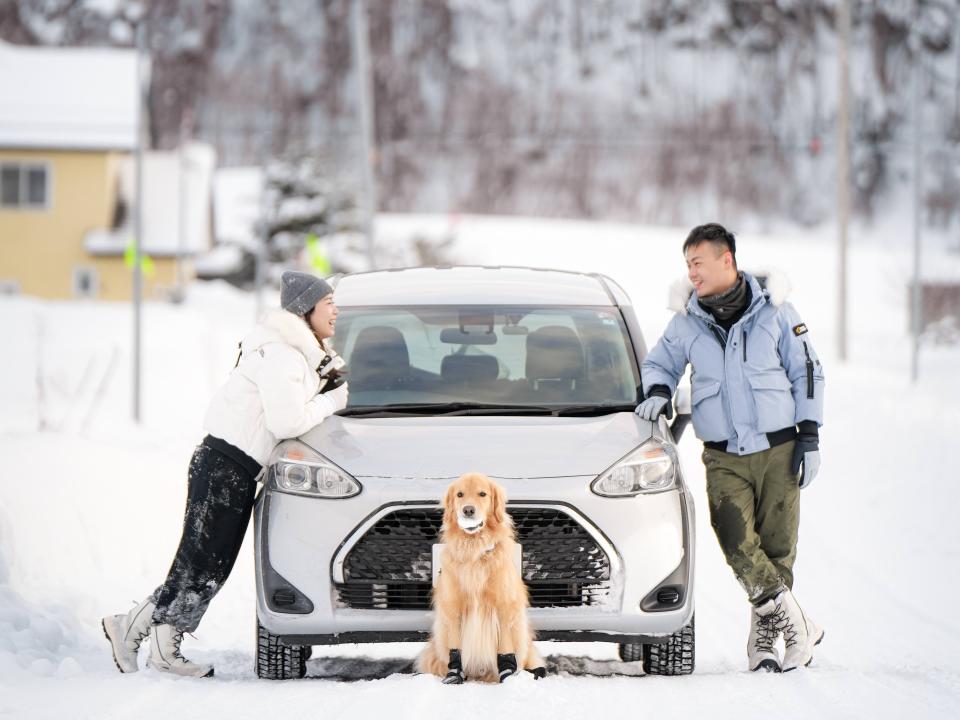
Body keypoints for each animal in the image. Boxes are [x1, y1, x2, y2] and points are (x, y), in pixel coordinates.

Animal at [416, 476, 544, 684]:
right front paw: (454, 676)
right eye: (460, 494)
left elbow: (505, 650)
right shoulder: (454, 609)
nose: (468, 510)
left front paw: (507, 676)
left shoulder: (503, 607)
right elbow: (456, 650)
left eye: (482, 494)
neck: (474, 548)